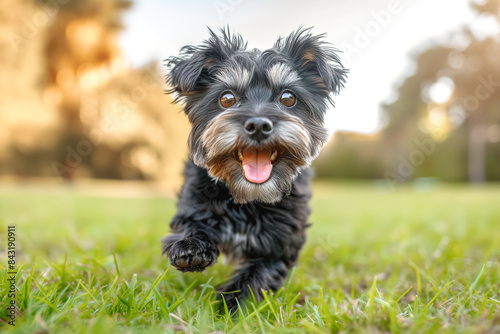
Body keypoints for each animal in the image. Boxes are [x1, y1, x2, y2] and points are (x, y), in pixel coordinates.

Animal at [162, 27, 346, 312]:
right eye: (227, 98)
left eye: (288, 98)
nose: (258, 125)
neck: (248, 199)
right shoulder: (195, 202)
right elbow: (189, 223)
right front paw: (190, 247)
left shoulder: (281, 240)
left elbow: (258, 275)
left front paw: (230, 306)